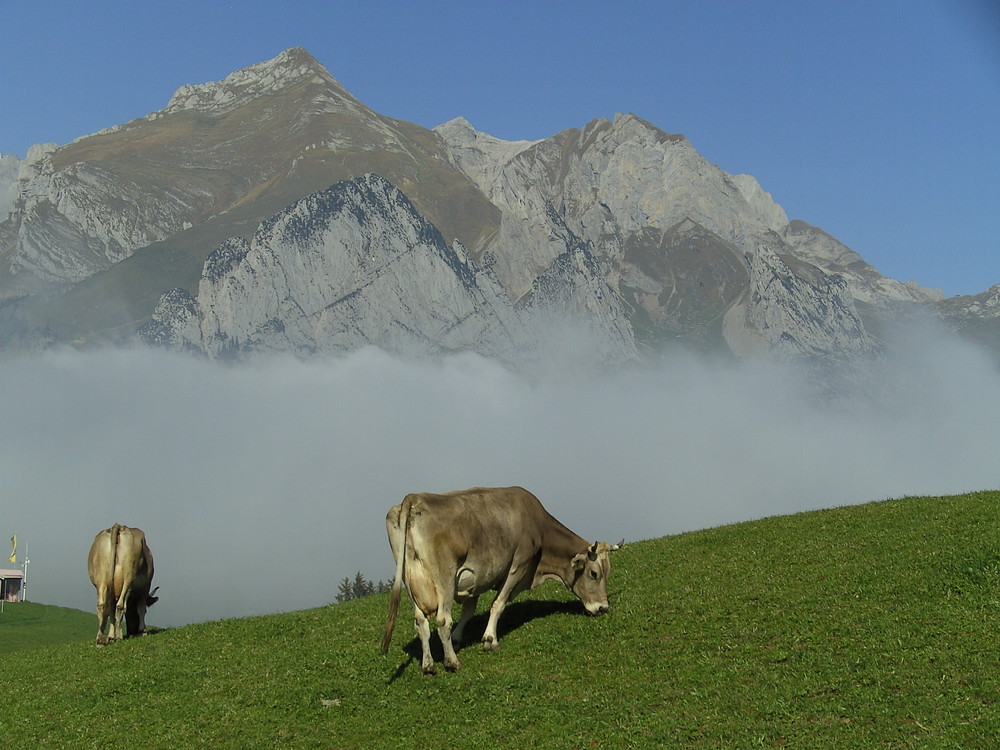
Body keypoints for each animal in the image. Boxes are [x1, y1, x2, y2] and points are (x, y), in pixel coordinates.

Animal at [380, 488, 620, 676]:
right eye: (594, 574)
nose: (603, 608)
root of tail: (414, 497)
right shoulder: (518, 566)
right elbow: (498, 604)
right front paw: (489, 640)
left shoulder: (476, 579)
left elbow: (468, 611)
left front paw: (458, 638)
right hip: (445, 579)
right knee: (442, 620)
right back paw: (452, 662)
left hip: (409, 580)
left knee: (420, 622)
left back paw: (428, 665)